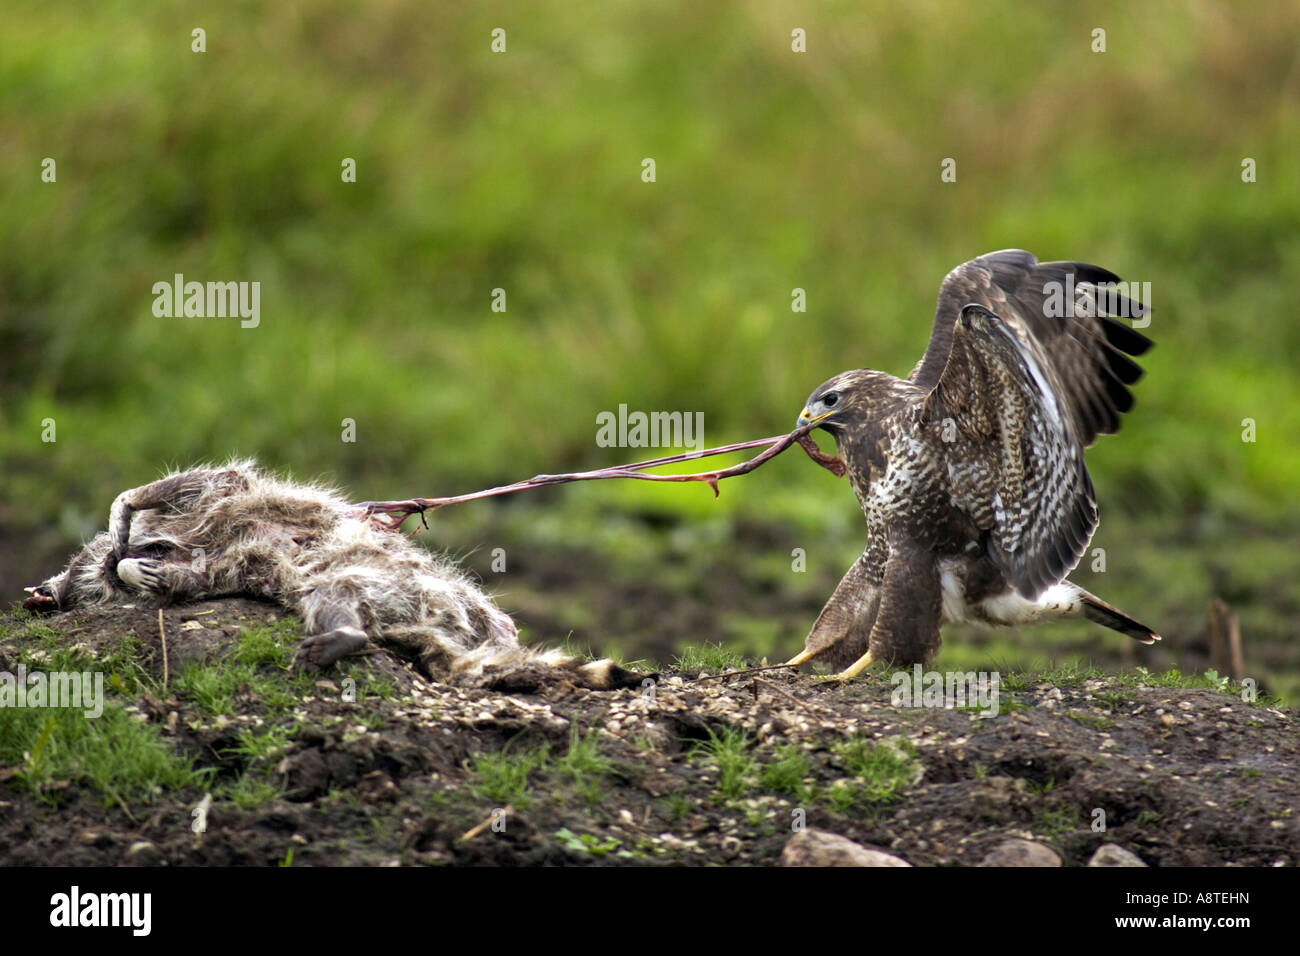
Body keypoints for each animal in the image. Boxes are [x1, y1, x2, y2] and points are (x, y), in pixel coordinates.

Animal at [20, 463, 650, 691]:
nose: (49, 589)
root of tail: (438, 625)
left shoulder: (217, 503)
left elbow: (208, 482)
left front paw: (125, 514)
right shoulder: (220, 564)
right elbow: (195, 579)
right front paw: (134, 571)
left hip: (418, 587)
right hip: (372, 590)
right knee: (329, 591)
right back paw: (347, 630)